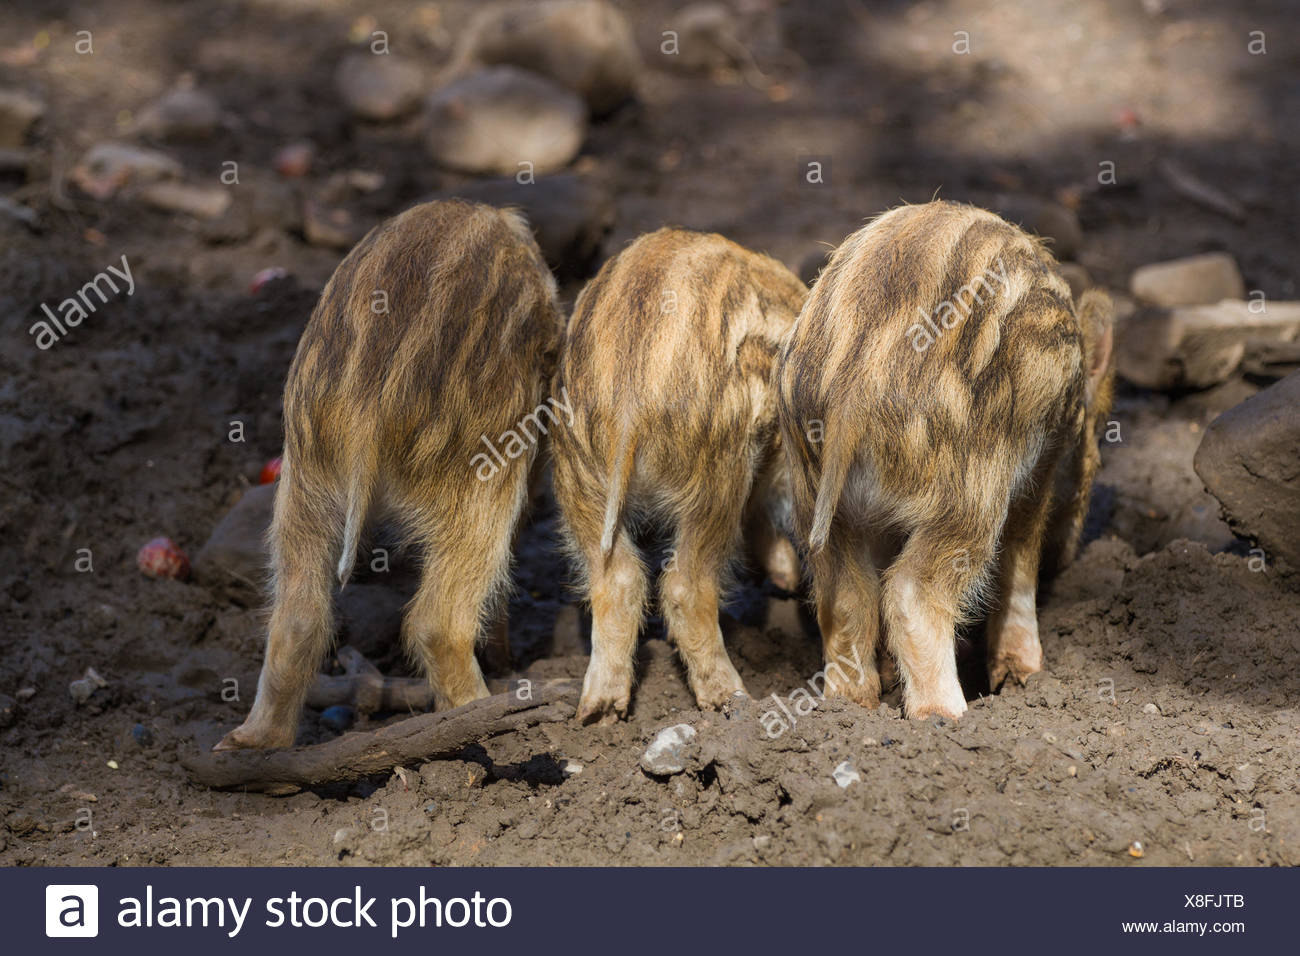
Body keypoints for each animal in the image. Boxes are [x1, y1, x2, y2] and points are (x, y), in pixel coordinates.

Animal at [216, 200, 564, 750]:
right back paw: (490, 717)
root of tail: (364, 414)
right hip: (478, 481)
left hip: (303, 480)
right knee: (438, 621)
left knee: (297, 619)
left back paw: (251, 743)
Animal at [552, 228, 807, 723]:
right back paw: (732, 699)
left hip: (577, 471)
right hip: (714, 476)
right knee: (684, 586)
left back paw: (598, 713)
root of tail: (628, 403)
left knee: (616, 580)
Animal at [777, 200, 1114, 720]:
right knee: (911, 591)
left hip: (813, 490)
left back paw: (853, 708)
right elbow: (1020, 557)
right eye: (1095, 438)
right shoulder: (1039, 469)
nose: (1071, 554)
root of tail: (851, 390)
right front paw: (1025, 675)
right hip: (970, 489)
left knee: (847, 596)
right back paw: (948, 716)